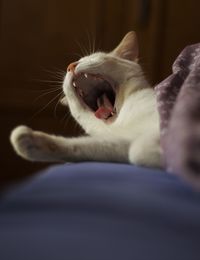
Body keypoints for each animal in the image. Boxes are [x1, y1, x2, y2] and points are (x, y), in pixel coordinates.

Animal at [9, 31, 162, 168]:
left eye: (92, 58)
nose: (70, 65)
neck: (118, 124)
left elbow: (139, 150)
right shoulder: (119, 141)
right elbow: (85, 147)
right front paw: (32, 142)